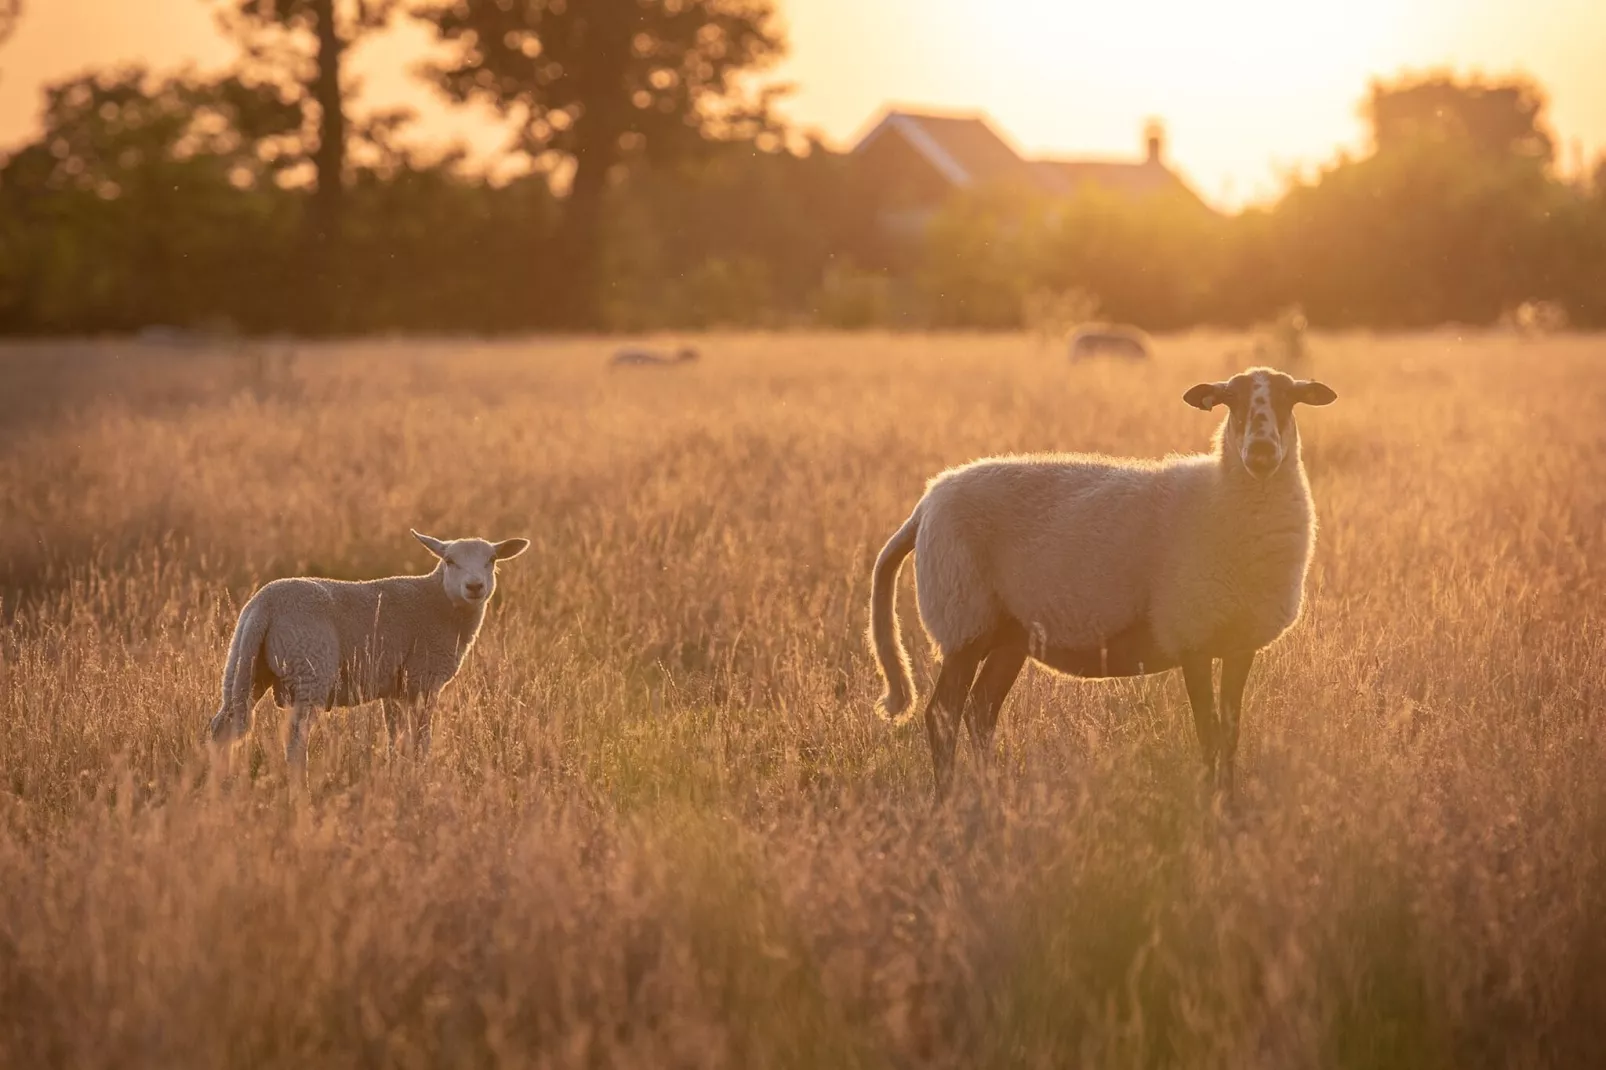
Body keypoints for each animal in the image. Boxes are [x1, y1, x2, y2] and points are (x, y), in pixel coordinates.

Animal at [203, 526, 533, 771]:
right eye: (450, 561)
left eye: (492, 560)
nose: (475, 587)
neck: (438, 602)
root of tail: (265, 604)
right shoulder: (422, 679)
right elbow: (421, 738)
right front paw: (421, 775)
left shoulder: (396, 687)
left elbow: (396, 737)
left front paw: (399, 773)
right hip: (310, 667)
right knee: (296, 741)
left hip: (244, 666)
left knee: (223, 728)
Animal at [873, 363, 1336, 796]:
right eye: (1231, 400)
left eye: (1289, 399)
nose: (1261, 452)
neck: (1221, 495)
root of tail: (925, 504)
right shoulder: (1192, 635)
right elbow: (1208, 733)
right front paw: (1211, 806)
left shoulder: (1239, 642)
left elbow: (1231, 733)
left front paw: (1228, 801)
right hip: (963, 619)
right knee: (943, 715)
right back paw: (949, 801)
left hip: (1008, 632)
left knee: (980, 710)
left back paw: (991, 794)